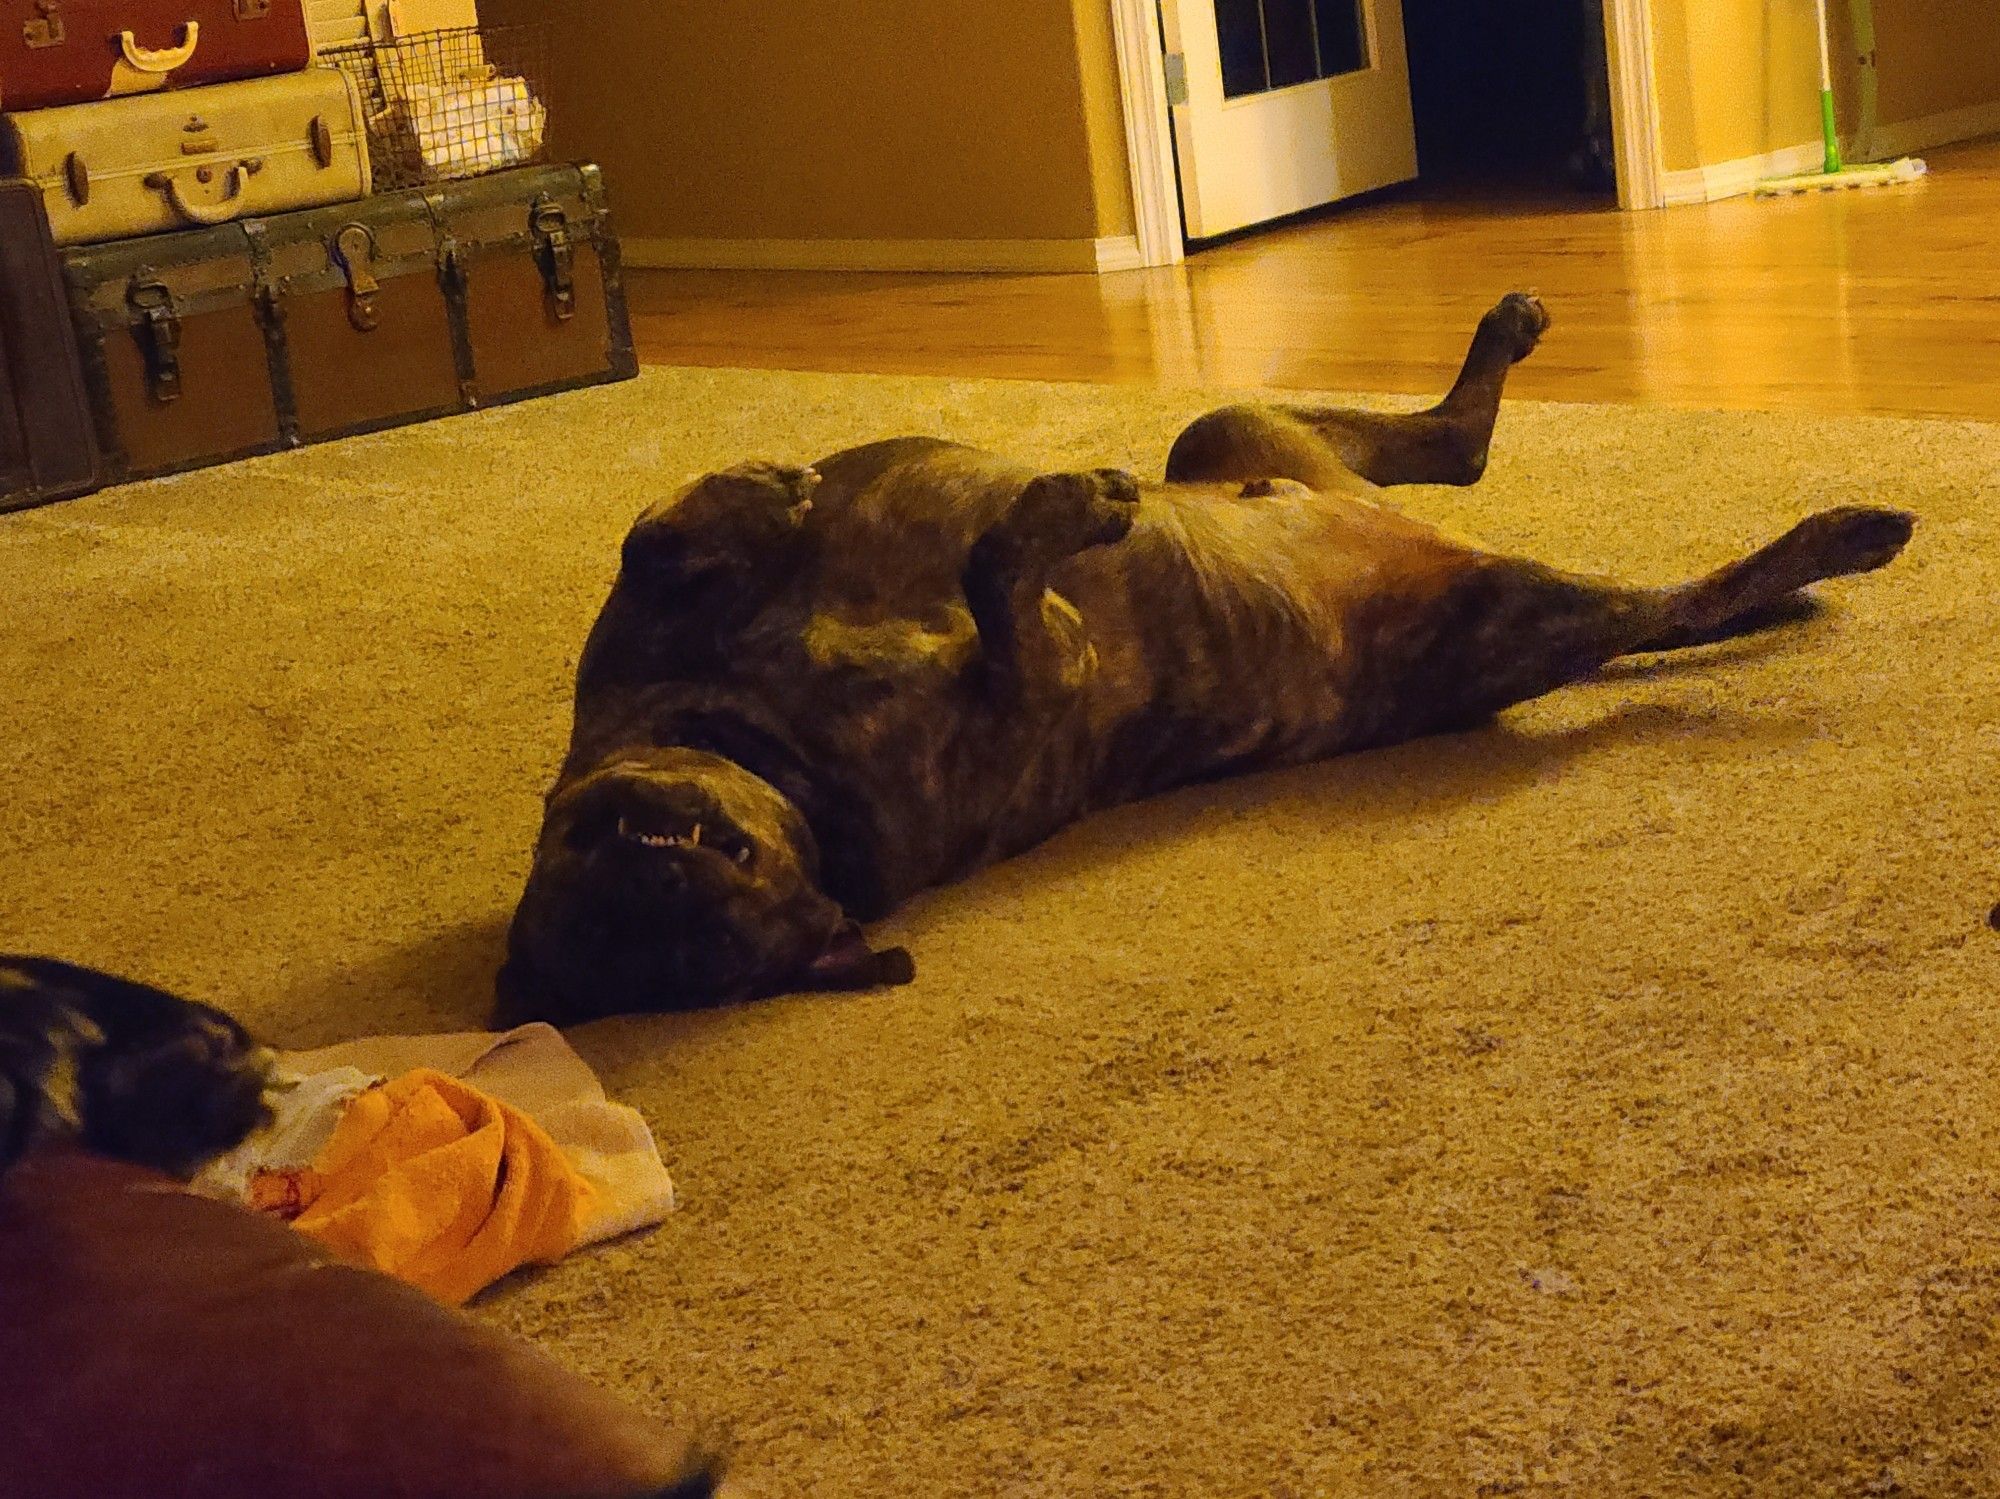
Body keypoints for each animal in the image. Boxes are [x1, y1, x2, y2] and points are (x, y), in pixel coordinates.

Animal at [496, 293, 1904, 1023]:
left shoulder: (628, 654)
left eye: (579, 853)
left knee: (1450, 444)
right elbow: (997, 569)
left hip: (1234, 431)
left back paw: (1505, 335)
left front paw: (764, 491)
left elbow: (659, 533)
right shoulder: (1038, 676)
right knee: (1674, 604)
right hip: (1507, 611)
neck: (775, 756)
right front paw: (1053, 511)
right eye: (644, 923)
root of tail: (1412, 540)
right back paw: (1838, 539)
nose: (652, 850)